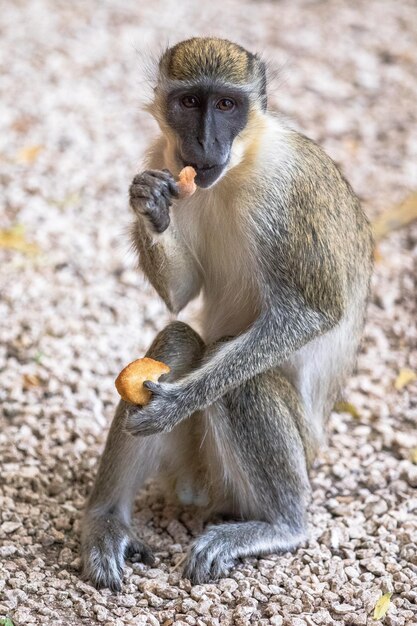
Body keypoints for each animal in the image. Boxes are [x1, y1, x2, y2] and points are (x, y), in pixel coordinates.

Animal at [79, 36, 372, 588]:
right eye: (192, 102)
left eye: (227, 105)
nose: (205, 143)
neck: (240, 167)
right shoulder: (161, 156)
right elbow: (181, 295)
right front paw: (150, 204)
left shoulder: (291, 188)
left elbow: (315, 312)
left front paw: (178, 401)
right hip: (191, 471)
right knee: (176, 339)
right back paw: (106, 522)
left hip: (288, 459)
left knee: (244, 383)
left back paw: (281, 525)